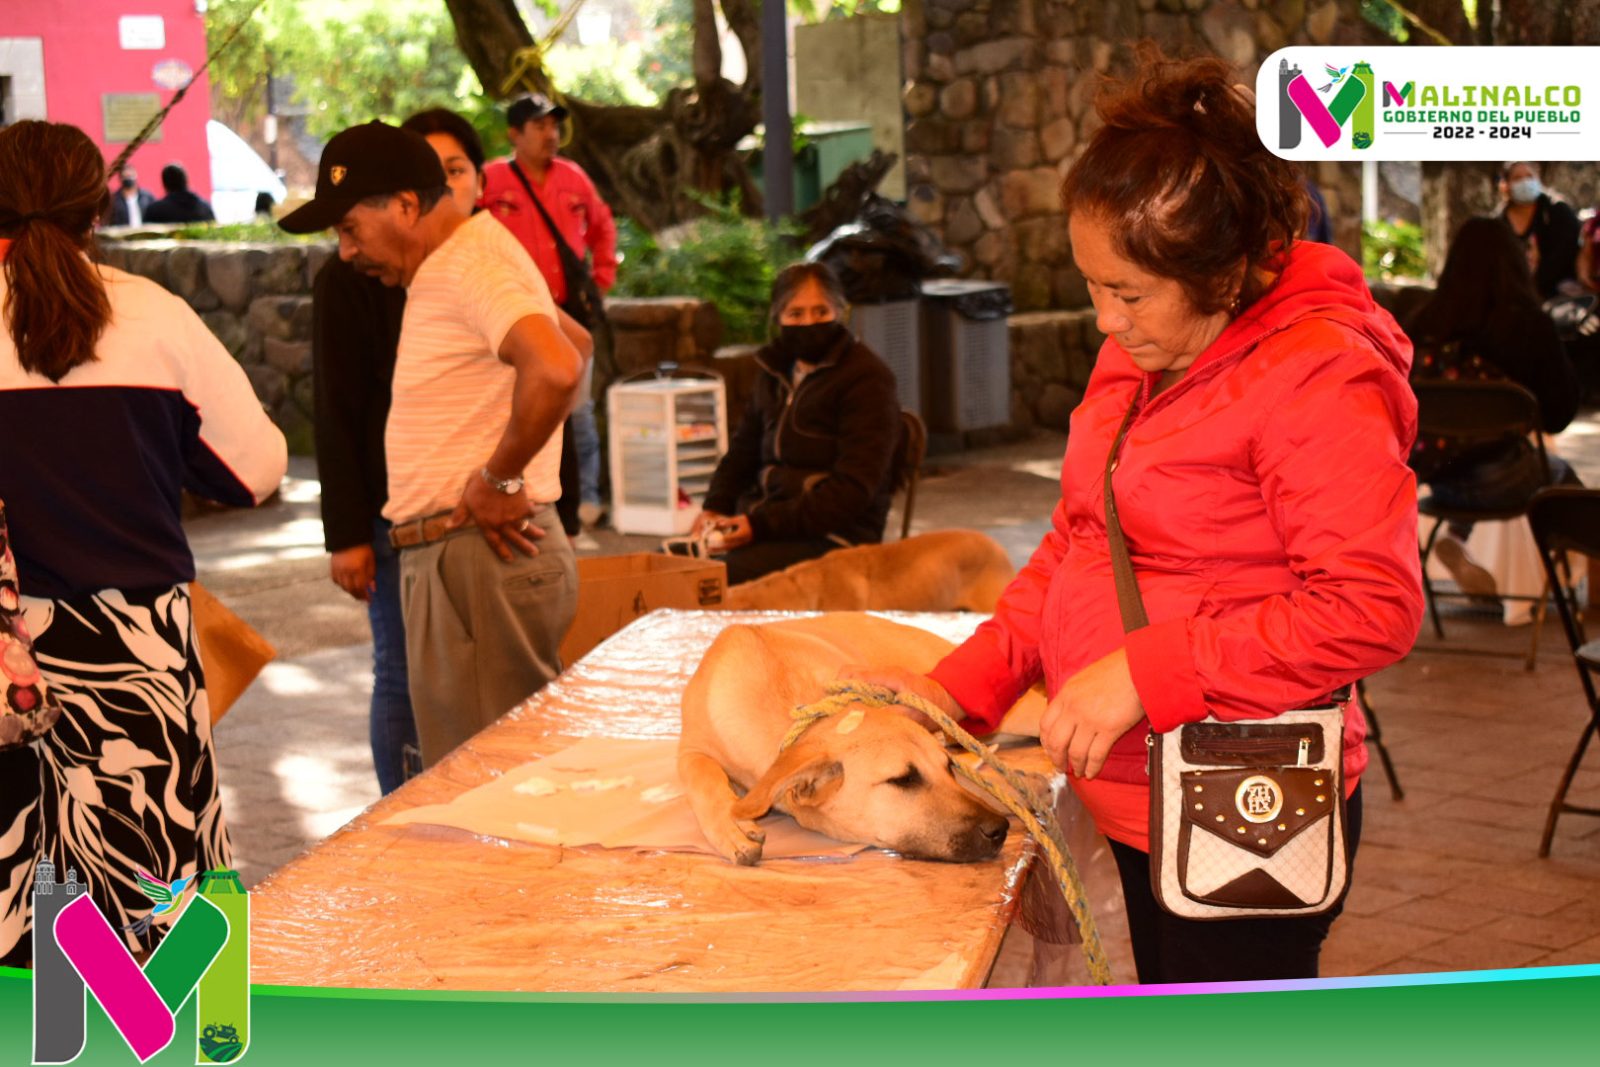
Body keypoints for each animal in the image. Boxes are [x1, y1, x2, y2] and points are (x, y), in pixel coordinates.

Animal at [678, 614, 1043, 863]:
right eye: (904, 779)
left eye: (948, 768)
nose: (999, 829)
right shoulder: (690, 748)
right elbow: (701, 773)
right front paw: (729, 822)